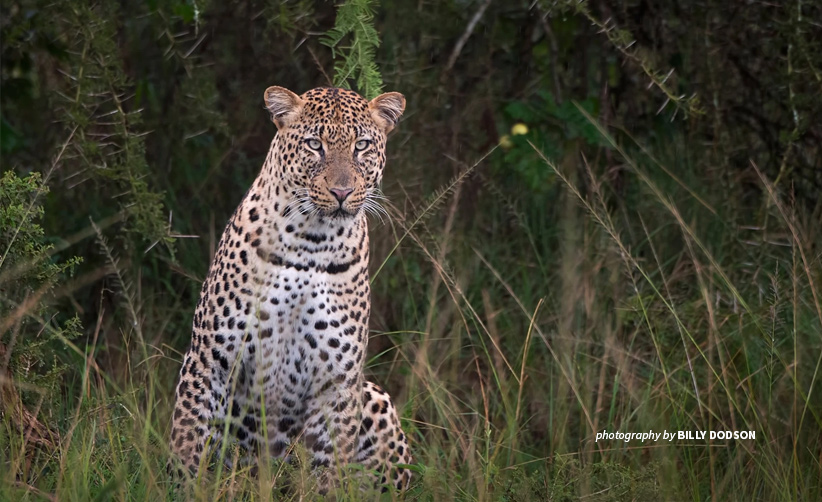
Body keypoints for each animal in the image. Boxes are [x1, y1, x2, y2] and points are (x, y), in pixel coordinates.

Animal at [170, 86, 412, 494]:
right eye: (315, 145)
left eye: (362, 145)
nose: (342, 191)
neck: (311, 243)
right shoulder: (209, 360)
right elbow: (188, 444)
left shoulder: (338, 381)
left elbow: (328, 474)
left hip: (373, 396)